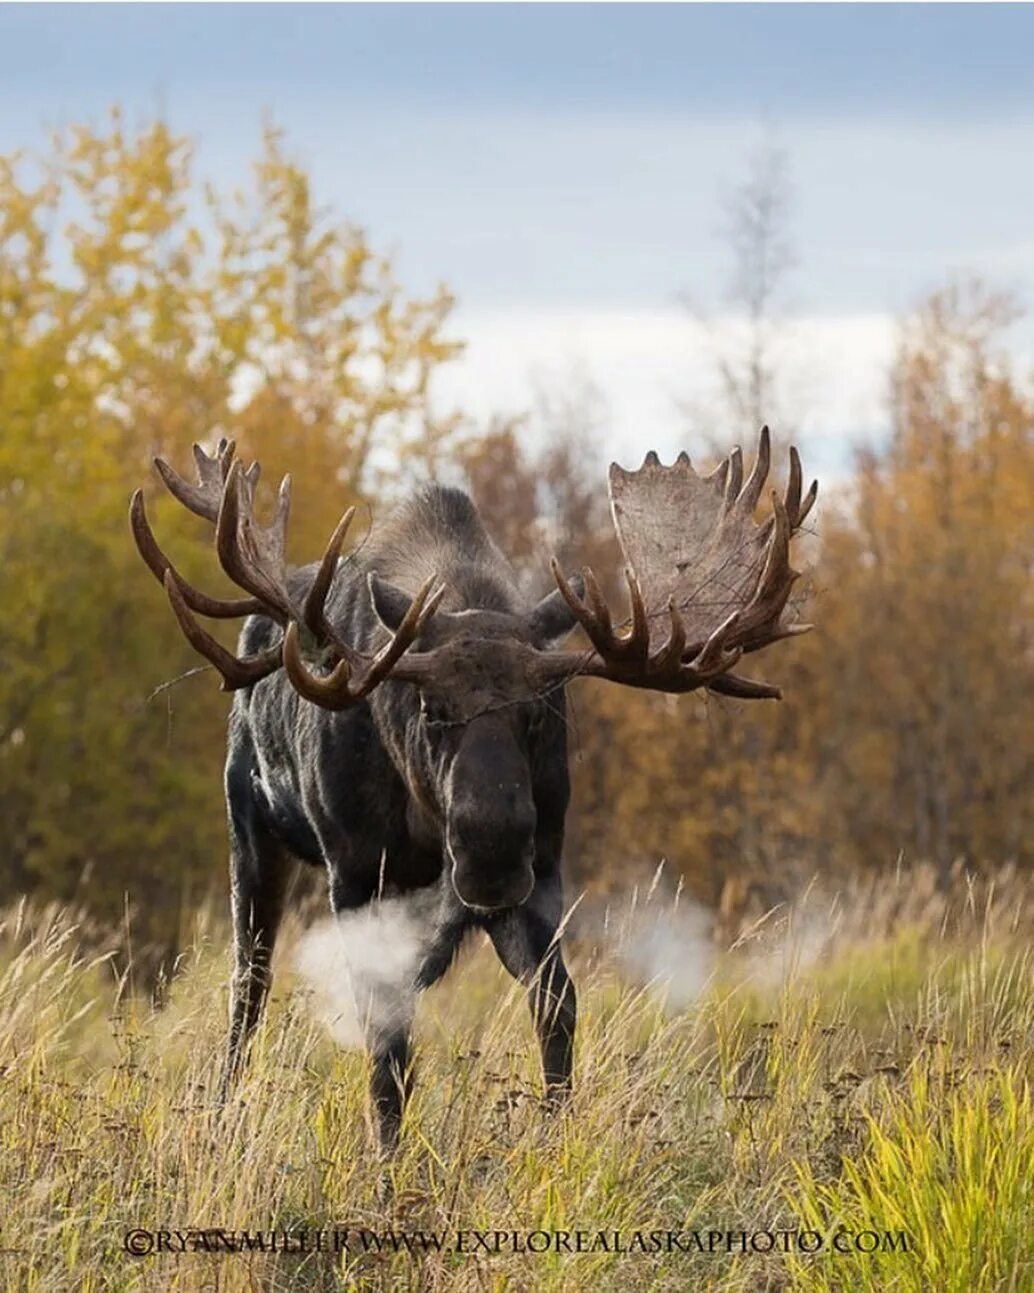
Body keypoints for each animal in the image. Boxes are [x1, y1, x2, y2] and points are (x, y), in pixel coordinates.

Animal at [129, 429, 816, 1148]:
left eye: (538, 711)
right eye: (430, 709)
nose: (490, 853)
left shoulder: (542, 874)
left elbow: (556, 1002)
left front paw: (555, 1134)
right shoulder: (355, 870)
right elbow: (384, 1032)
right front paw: (388, 1151)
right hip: (251, 830)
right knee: (249, 983)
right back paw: (223, 1108)